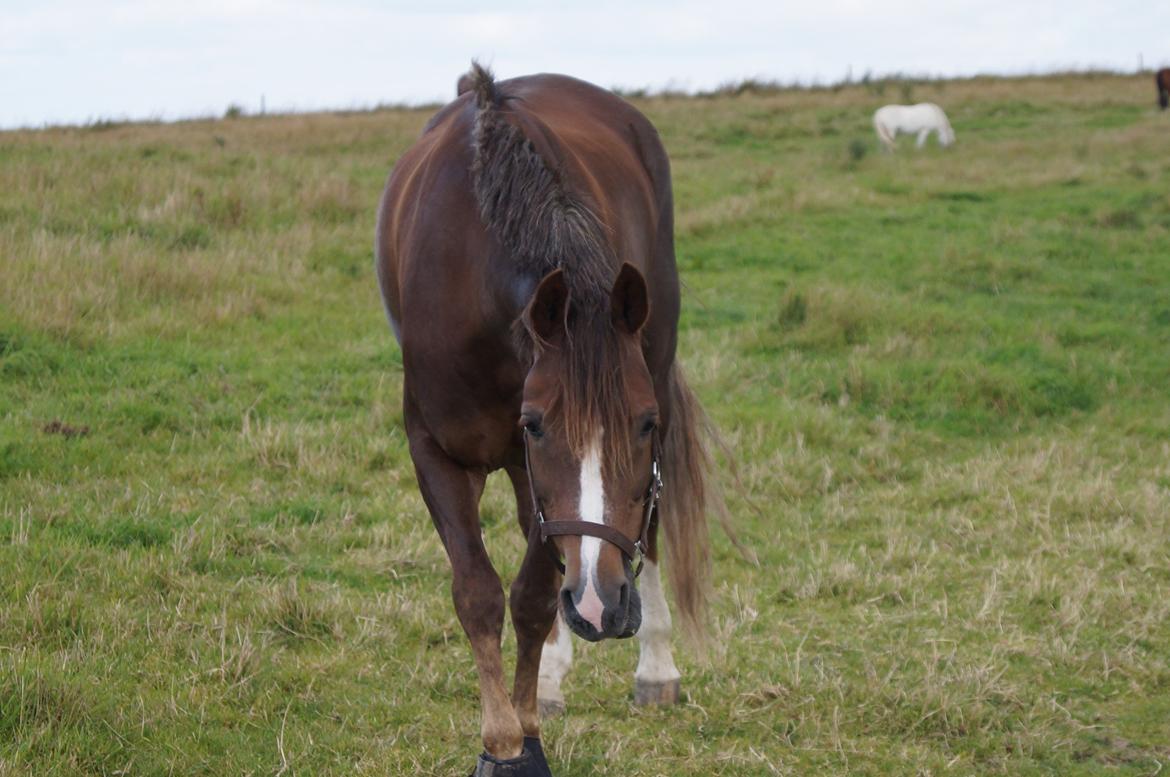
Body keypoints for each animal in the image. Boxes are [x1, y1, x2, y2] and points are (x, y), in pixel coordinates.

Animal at [375, 63, 718, 776]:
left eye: (645, 423)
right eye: (535, 425)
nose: (602, 606)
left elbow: (533, 597)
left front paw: (525, 740)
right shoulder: (439, 453)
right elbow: (478, 592)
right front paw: (500, 740)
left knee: (645, 534)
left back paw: (653, 665)